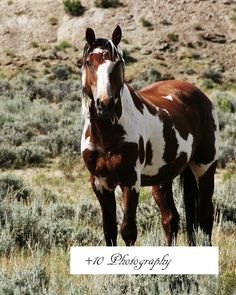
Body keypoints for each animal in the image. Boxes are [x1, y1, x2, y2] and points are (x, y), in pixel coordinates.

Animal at [81, 26, 219, 247]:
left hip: (204, 169)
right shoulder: (100, 185)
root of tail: (199, 95)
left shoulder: (130, 182)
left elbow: (128, 231)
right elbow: (109, 232)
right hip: (162, 179)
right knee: (171, 219)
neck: (105, 137)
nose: (105, 104)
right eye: (89, 62)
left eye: (117, 63)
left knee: (205, 218)